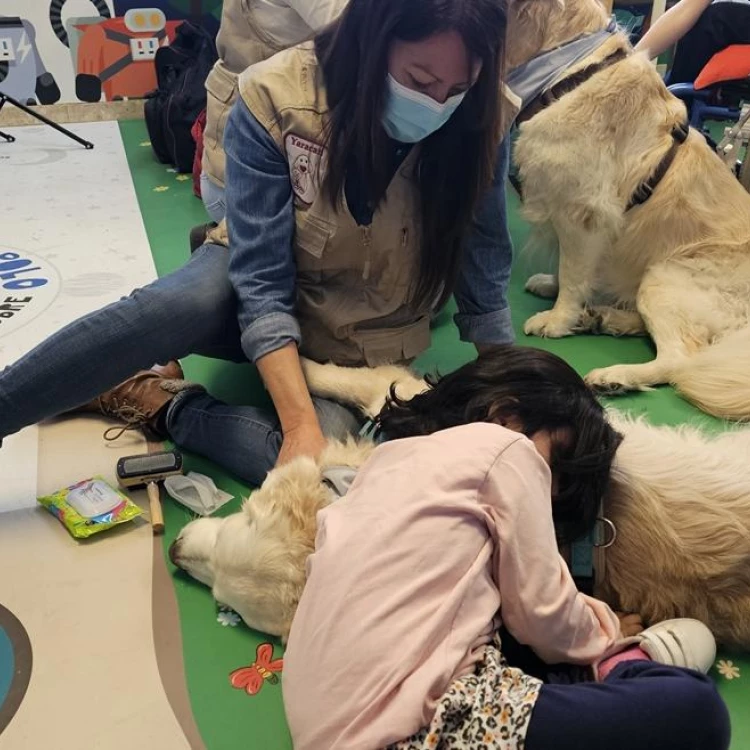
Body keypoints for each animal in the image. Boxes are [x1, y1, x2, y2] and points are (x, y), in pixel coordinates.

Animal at [512, 0, 750, 420]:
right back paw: (607, 318)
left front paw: (558, 319)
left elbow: (573, 273)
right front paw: (554, 288)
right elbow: (573, 268)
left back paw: (615, 375)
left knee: (681, 360)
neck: (574, 69)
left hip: (666, 276)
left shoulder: (583, 213)